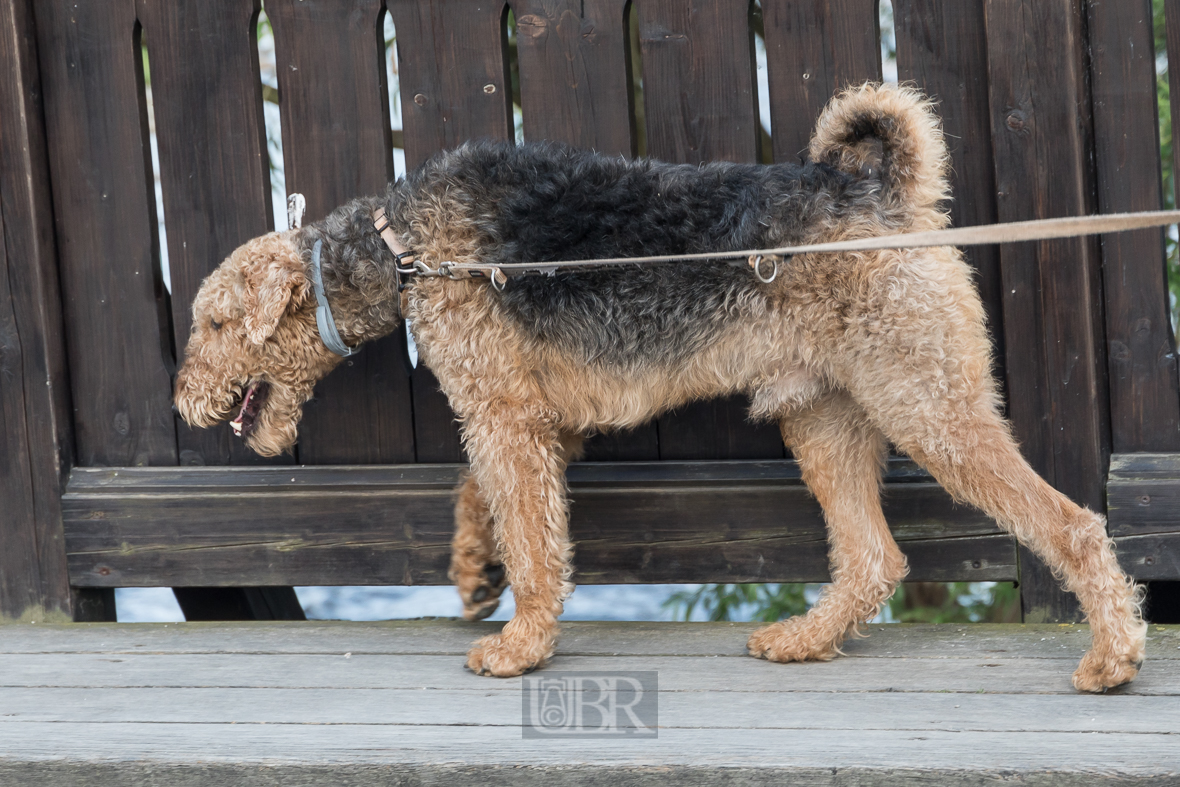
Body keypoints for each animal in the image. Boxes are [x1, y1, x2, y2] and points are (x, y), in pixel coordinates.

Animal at [172, 83, 1142, 693]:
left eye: (214, 323)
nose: (182, 400)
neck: (400, 247)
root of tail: (881, 189)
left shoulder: (504, 414)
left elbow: (534, 542)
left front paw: (519, 646)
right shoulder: (529, 417)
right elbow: (483, 501)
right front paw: (474, 577)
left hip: (928, 404)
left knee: (1071, 522)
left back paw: (1112, 659)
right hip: (822, 416)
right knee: (873, 557)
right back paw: (801, 640)